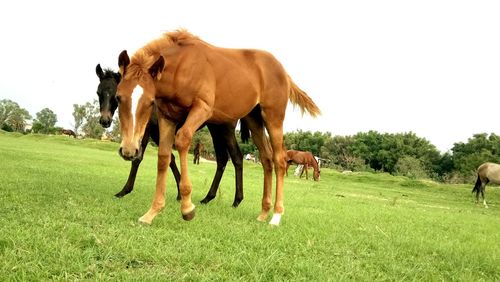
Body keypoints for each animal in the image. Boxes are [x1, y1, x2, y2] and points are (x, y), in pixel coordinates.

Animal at [94, 64, 245, 207]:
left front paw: (124, 191)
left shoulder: (147, 128)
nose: (105, 121)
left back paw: (236, 201)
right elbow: (170, 158)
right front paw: (180, 193)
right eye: (98, 92)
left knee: (236, 157)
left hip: (225, 129)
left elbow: (138, 158)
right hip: (215, 129)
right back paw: (208, 198)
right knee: (222, 159)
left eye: (116, 95)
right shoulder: (158, 132)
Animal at [116, 29, 320, 226]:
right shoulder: (168, 117)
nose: (128, 151)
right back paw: (263, 213)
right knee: (266, 158)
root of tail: (284, 72)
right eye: (118, 97)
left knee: (279, 159)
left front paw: (187, 207)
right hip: (254, 120)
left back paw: (276, 216)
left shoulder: (202, 108)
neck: (181, 67)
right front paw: (151, 212)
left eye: (150, 102)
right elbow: (164, 157)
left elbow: (182, 139)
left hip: (273, 118)